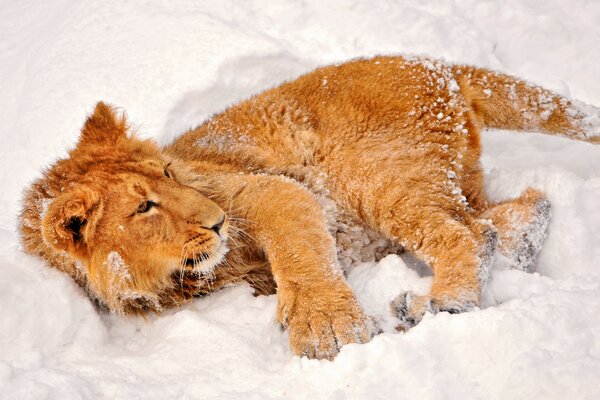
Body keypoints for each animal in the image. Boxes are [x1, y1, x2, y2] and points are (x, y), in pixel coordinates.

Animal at [18, 54, 600, 358]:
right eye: (144, 209)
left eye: (167, 173)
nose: (217, 222)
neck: (175, 278)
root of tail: (434, 64)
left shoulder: (263, 189)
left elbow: (297, 250)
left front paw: (327, 327)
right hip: (445, 178)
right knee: (512, 213)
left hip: (374, 174)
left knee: (465, 234)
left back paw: (442, 304)